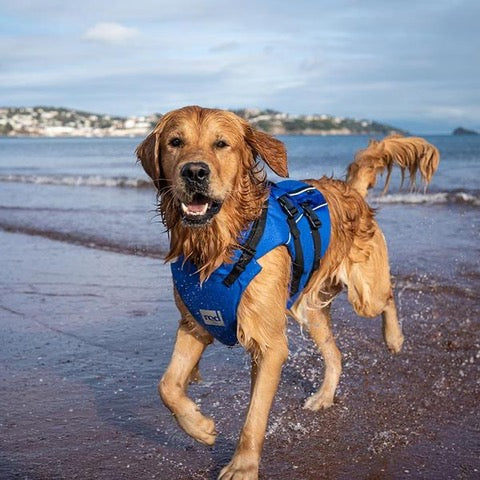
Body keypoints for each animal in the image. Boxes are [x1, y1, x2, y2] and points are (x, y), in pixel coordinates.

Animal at [137, 107, 414, 478]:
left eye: (221, 144)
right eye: (175, 142)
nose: (194, 171)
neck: (218, 246)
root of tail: (351, 190)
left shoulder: (268, 344)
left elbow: (254, 417)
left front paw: (242, 466)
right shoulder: (196, 323)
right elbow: (166, 385)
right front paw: (200, 427)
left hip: (365, 292)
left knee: (387, 297)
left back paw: (394, 338)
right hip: (310, 310)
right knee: (335, 354)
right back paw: (324, 396)